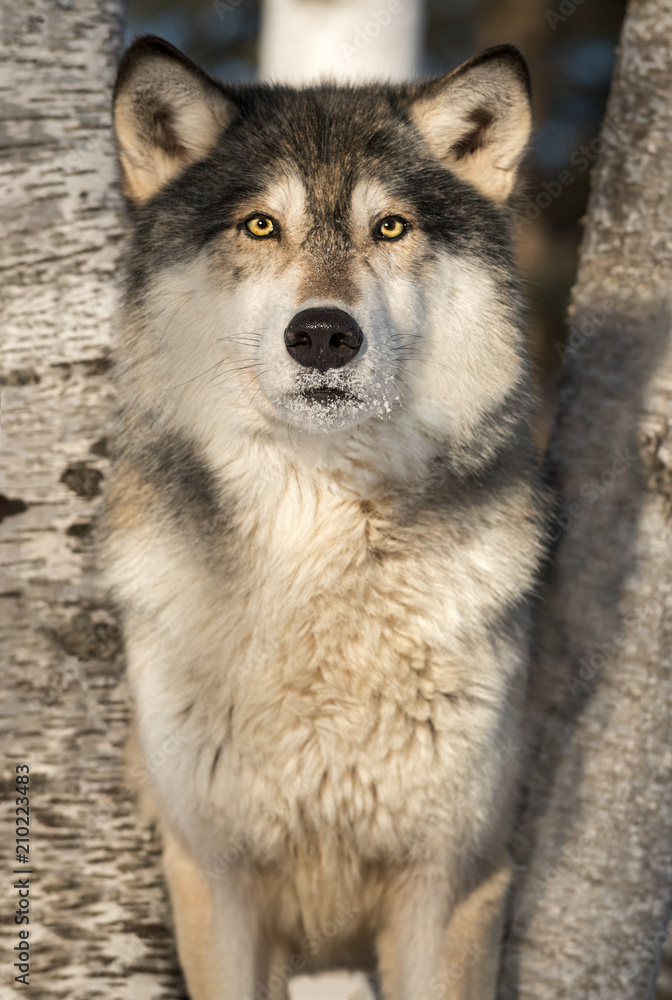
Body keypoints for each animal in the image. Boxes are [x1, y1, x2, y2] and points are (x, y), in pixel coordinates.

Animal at [104, 34, 546, 1000]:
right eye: (260, 226)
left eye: (391, 228)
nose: (322, 336)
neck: (317, 539)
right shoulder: (217, 884)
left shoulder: (450, 884)